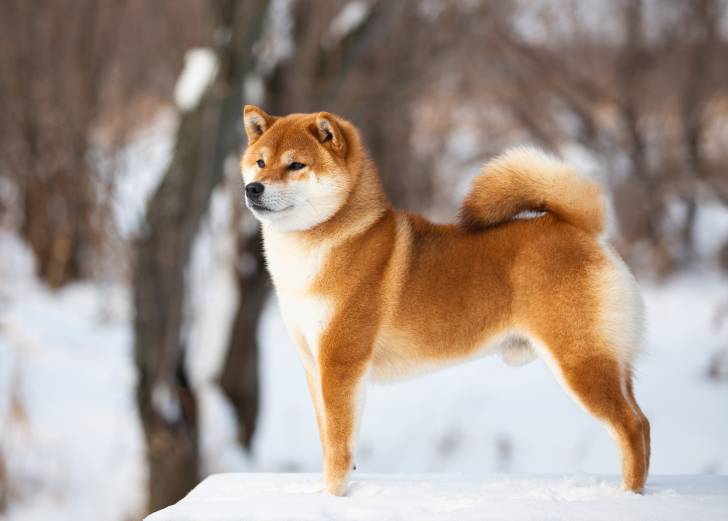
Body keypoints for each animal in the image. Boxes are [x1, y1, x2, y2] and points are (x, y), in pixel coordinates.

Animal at [240, 105, 650, 496]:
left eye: (296, 164)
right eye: (260, 162)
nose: (253, 189)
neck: (324, 244)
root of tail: (585, 230)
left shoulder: (341, 363)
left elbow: (339, 447)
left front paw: (332, 497)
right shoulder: (315, 367)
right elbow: (329, 441)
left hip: (580, 362)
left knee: (630, 426)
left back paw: (627, 494)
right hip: (611, 363)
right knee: (643, 423)